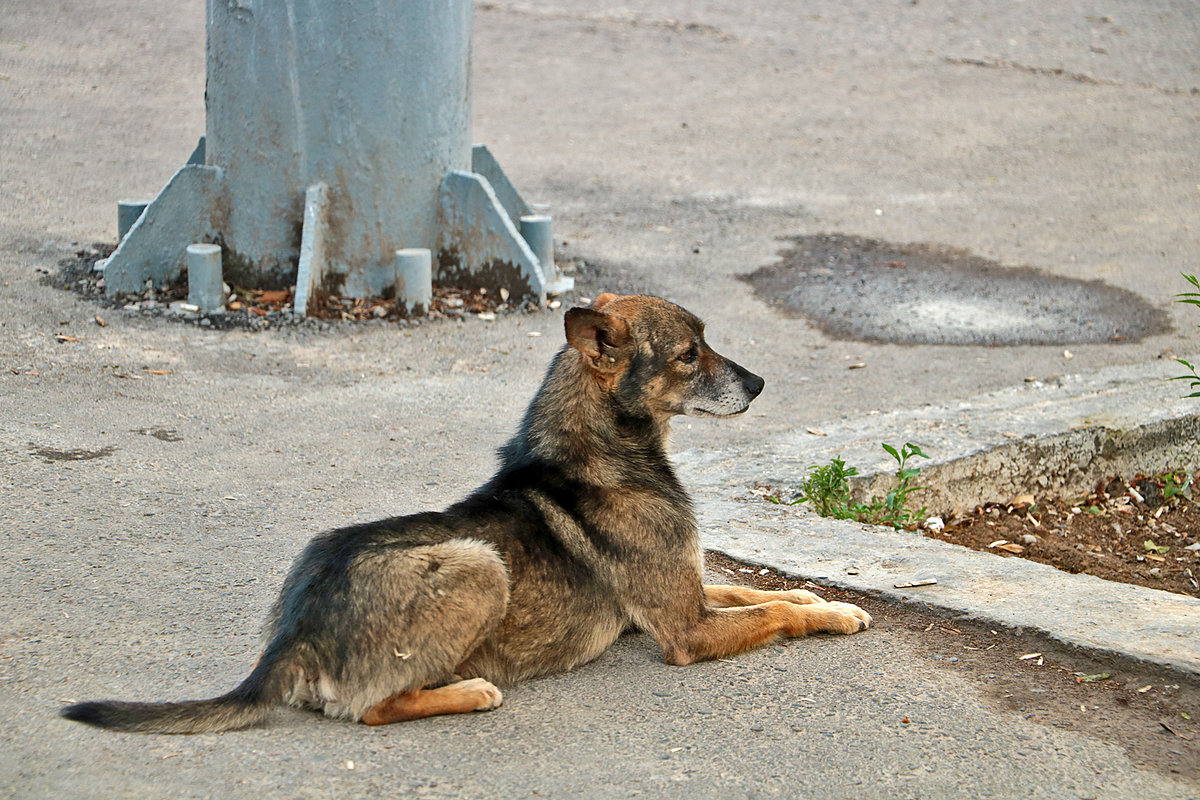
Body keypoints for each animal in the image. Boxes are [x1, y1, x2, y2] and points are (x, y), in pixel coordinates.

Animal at [60, 292, 868, 734]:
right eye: (689, 354)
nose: (759, 384)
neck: (602, 451)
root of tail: (295, 632)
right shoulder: (686, 631)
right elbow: (772, 611)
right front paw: (820, 615)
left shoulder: (687, 595)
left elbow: (770, 592)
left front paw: (833, 606)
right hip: (480, 565)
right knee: (370, 708)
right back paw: (469, 689)